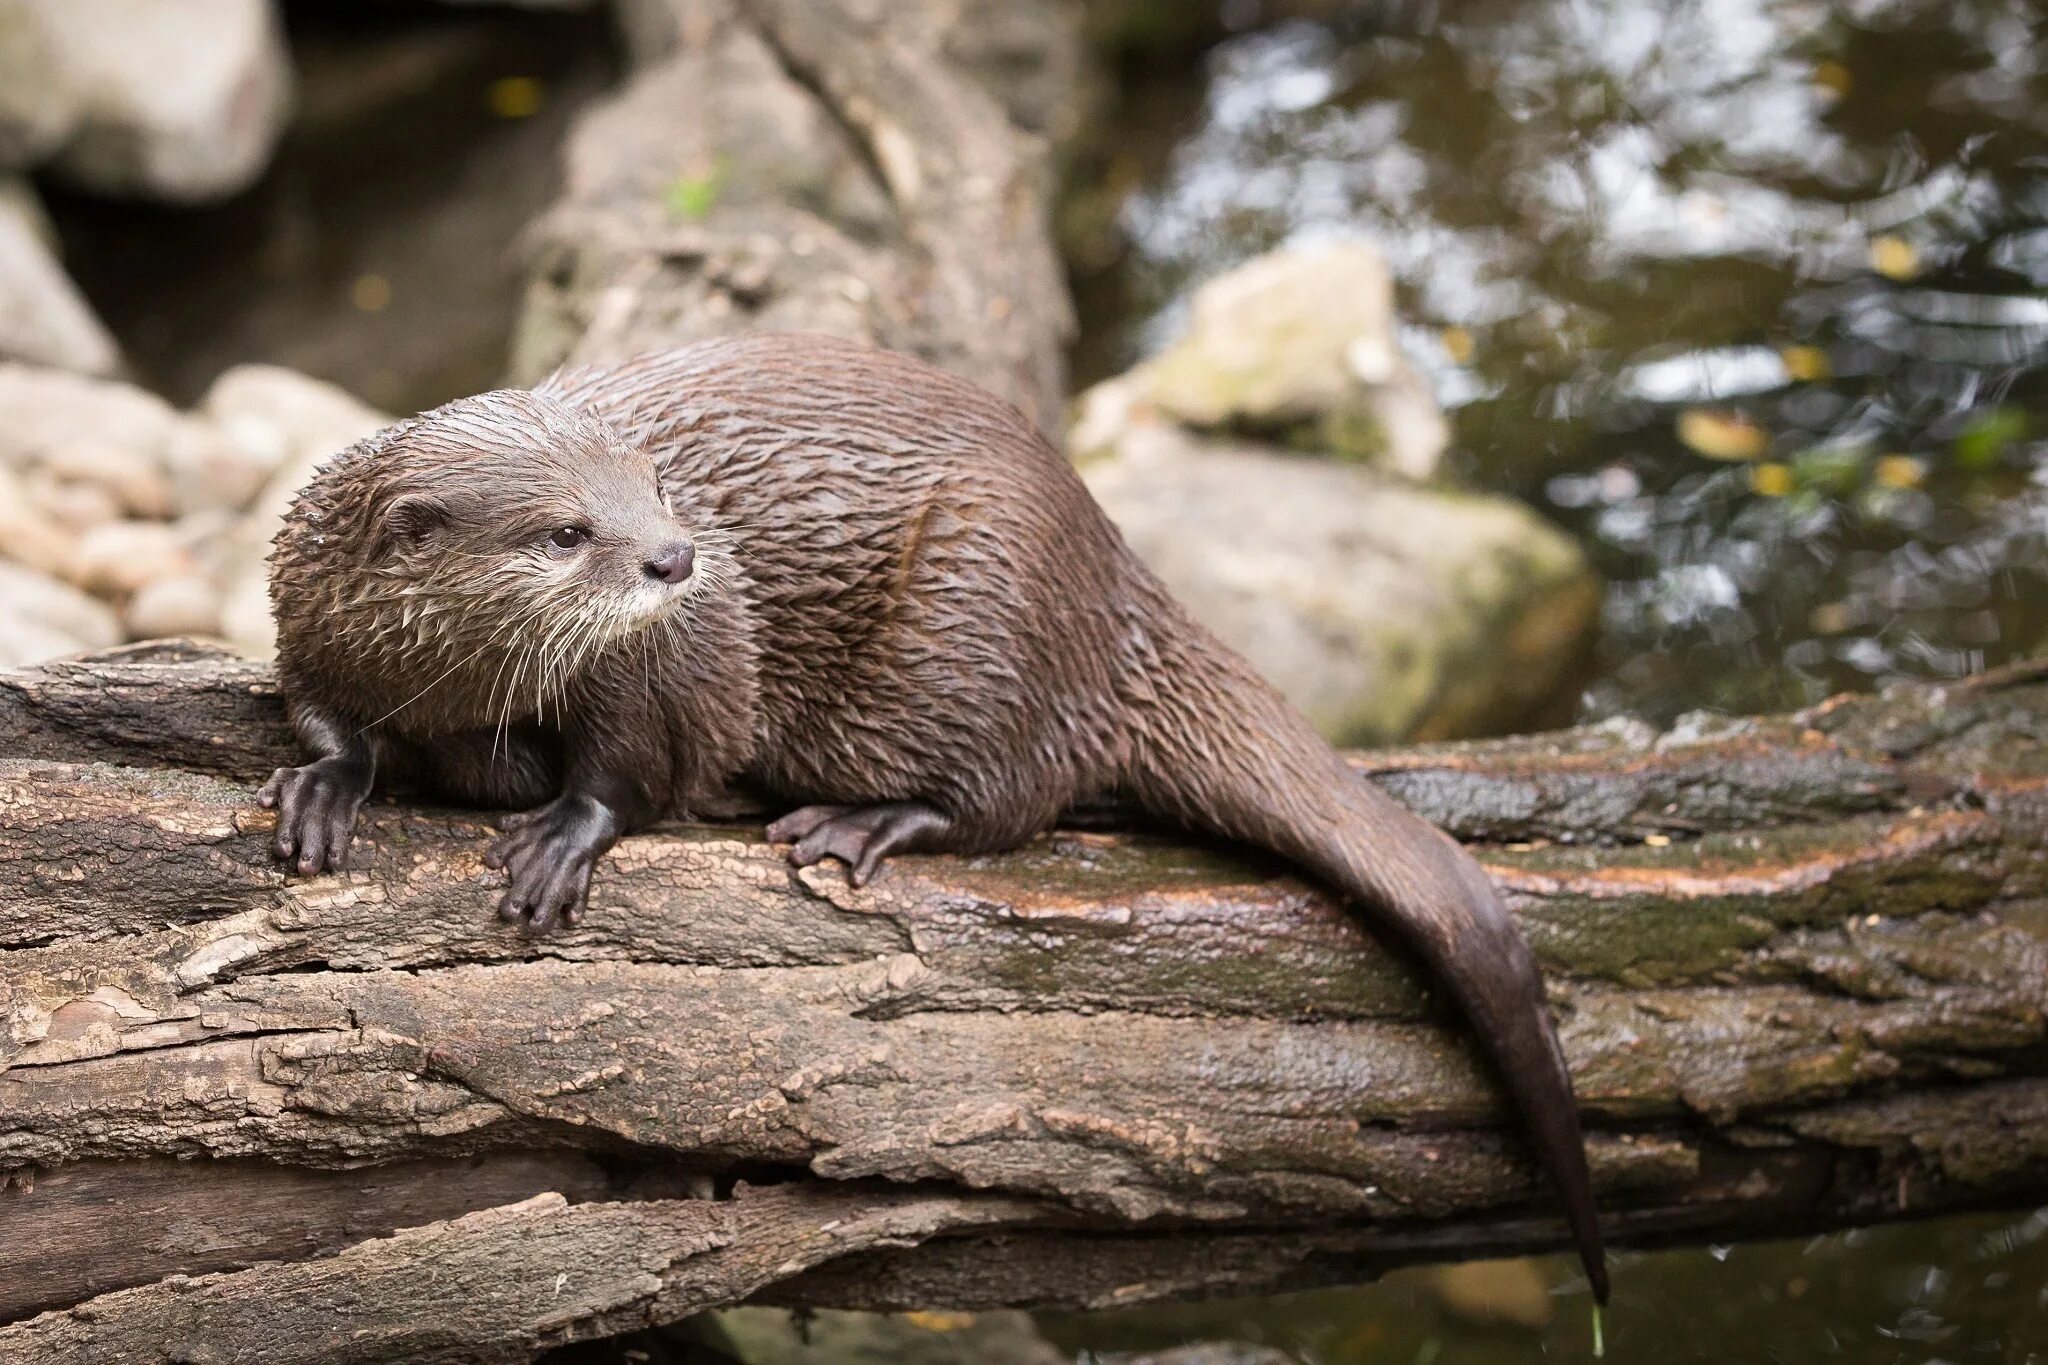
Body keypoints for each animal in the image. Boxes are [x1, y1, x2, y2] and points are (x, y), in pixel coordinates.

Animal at [256, 331, 1605, 1301]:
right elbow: (318, 711)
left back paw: (857, 826)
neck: (460, 689)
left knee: (1014, 795)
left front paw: (558, 838)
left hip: (970, 623)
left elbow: (634, 768)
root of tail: (1107, 575)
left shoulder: (660, 671)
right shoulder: (310, 614)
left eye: (653, 490)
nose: (677, 558)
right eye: (563, 531)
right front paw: (324, 790)